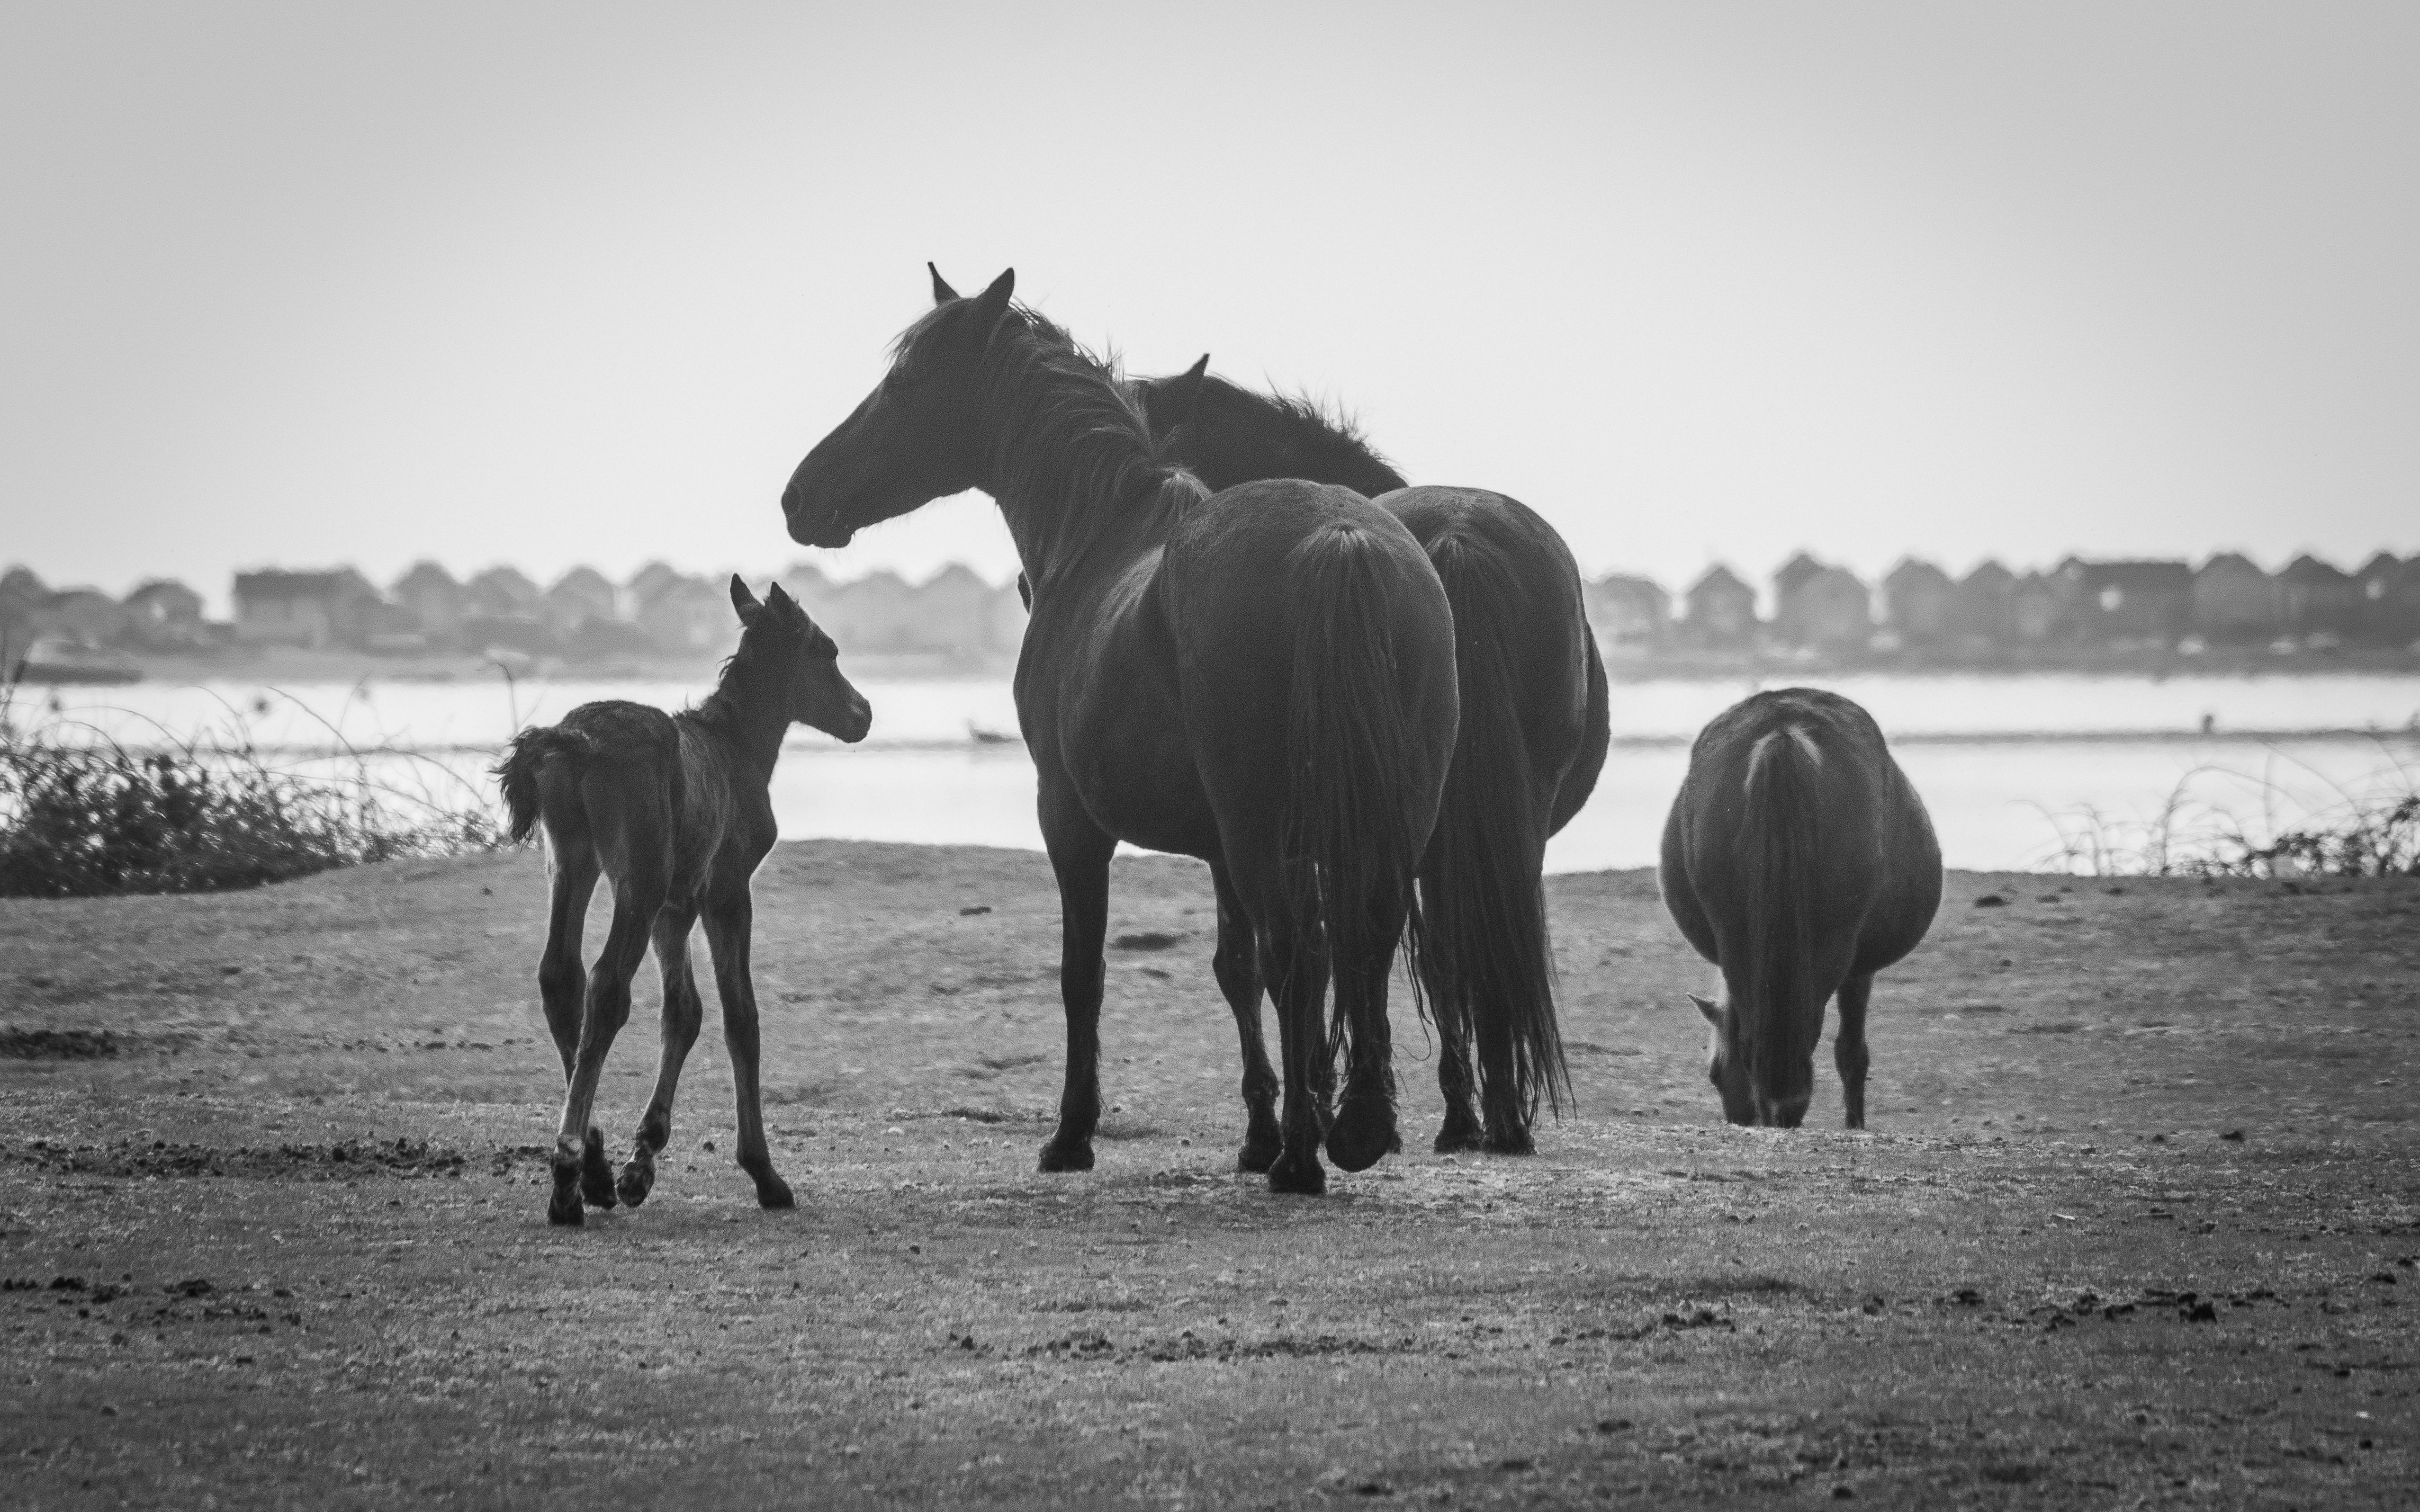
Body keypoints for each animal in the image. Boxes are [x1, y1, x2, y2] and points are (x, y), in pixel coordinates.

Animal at [495, 578, 872, 1224]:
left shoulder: (676, 905)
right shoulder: (726, 890)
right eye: (828, 651)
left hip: (572, 860)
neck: (740, 748)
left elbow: (684, 1011)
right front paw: (764, 1173)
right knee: (607, 987)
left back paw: (593, 1168)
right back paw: (567, 1173)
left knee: (560, 976)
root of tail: (573, 740)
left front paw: (638, 1166)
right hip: (637, 878)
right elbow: (740, 1017)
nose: (864, 713)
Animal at [782, 266, 1459, 1196]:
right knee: (1361, 933)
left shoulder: (1070, 819)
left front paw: (1073, 1134)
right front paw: (1260, 1127)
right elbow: (1236, 970)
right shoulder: (1219, 851)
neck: (1099, 538)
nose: (799, 495)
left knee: (1304, 948)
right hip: (1387, 820)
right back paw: (1353, 1128)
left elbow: (1086, 973)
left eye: (905, 382)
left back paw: (1301, 1156)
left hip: (1267, 830)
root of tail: (1339, 537)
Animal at [1657, 687, 1940, 1128]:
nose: (1738, 1120)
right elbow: (1851, 1052)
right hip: (1828, 947)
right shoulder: (1858, 969)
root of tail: (1783, 732)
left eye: (1715, 1074)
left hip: (1737, 938)